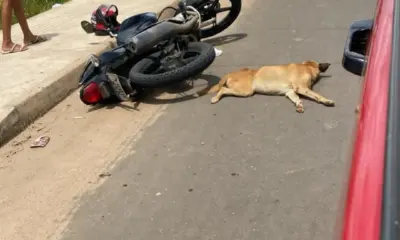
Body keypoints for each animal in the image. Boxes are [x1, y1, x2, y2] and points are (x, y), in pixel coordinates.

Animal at [197, 60, 334, 112]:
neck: (307, 66)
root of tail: (231, 73)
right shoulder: (302, 88)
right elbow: (317, 95)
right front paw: (327, 101)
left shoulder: (290, 92)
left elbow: (296, 98)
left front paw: (299, 105)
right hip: (245, 91)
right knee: (223, 89)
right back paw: (215, 98)